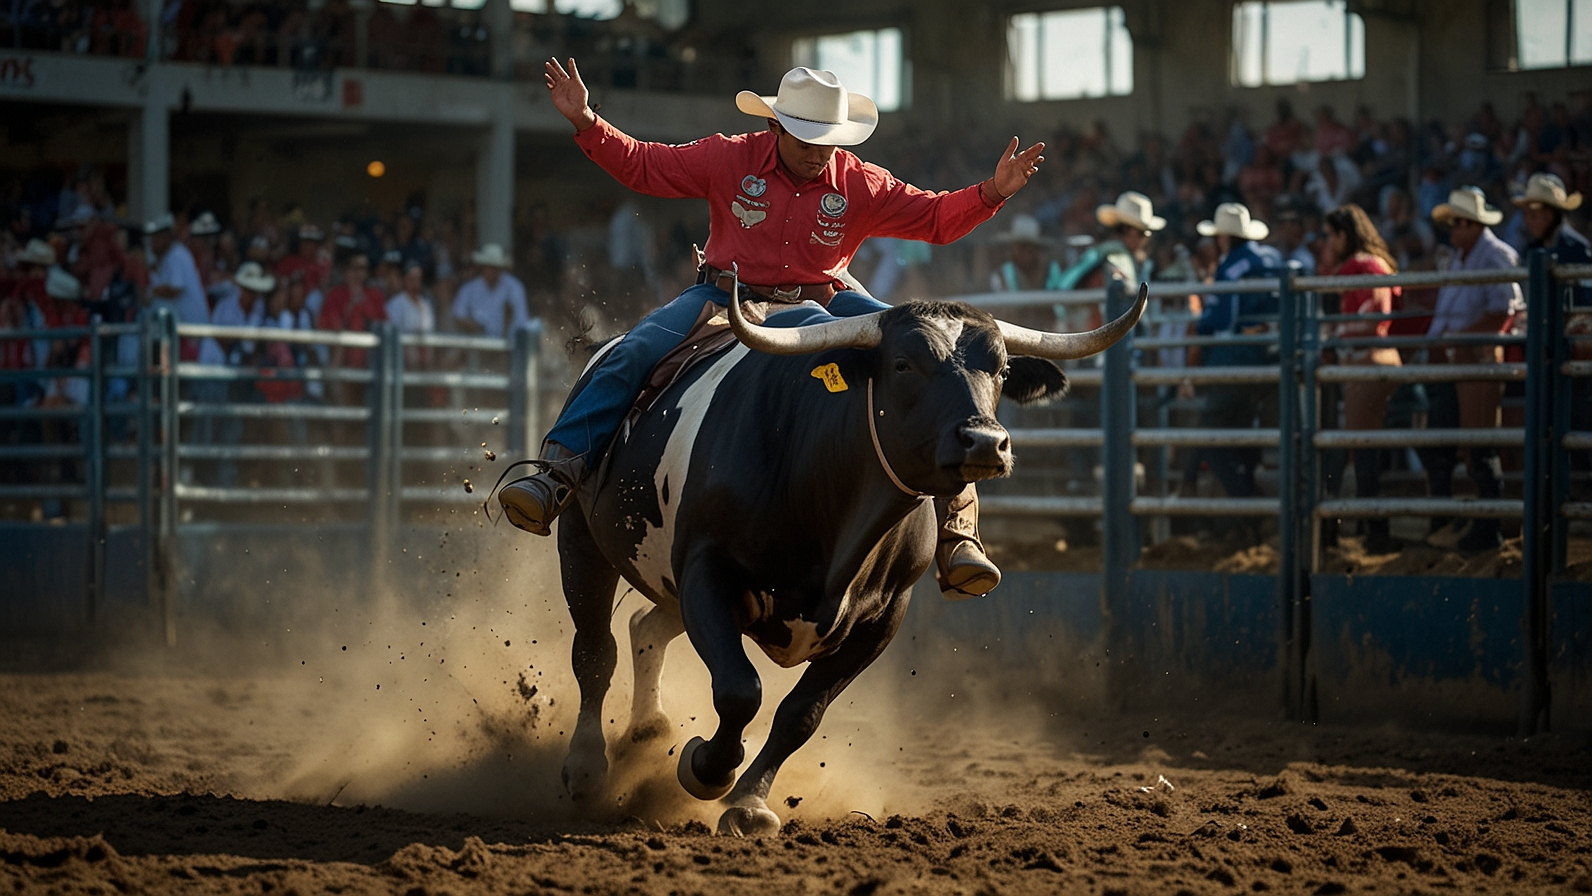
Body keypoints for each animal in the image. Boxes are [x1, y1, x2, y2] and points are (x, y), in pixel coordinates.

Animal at [550, 278, 1146, 833]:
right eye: (903, 364)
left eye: (1000, 370)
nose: (984, 442)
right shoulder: (706, 573)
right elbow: (740, 690)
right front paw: (707, 769)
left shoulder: (881, 618)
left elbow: (801, 714)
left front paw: (749, 803)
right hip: (583, 540)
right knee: (595, 651)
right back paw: (585, 767)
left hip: (668, 585)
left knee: (644, 626)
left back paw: (647, 731)